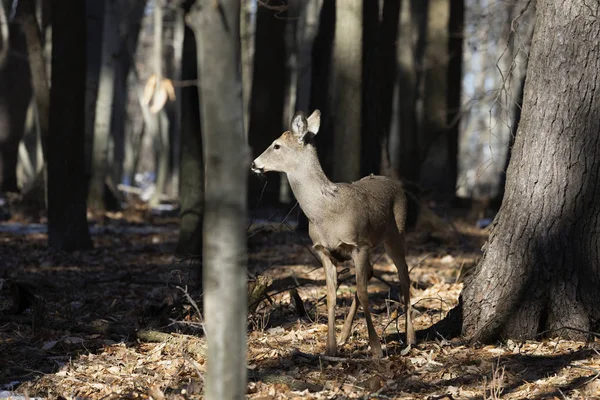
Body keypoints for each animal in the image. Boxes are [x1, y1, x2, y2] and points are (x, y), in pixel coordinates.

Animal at [251, 110, 414, 360]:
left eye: (276, 145)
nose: (254, 163)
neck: (326, 213)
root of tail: (394, 183)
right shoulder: (323, 251)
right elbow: (331, 296)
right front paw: (331, 348)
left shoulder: (359, 244)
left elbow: (364, 293)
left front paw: (376, 348)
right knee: (371, 274)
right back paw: (346, 335)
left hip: (396, 234)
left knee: (404, 276)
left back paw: (410, 338)